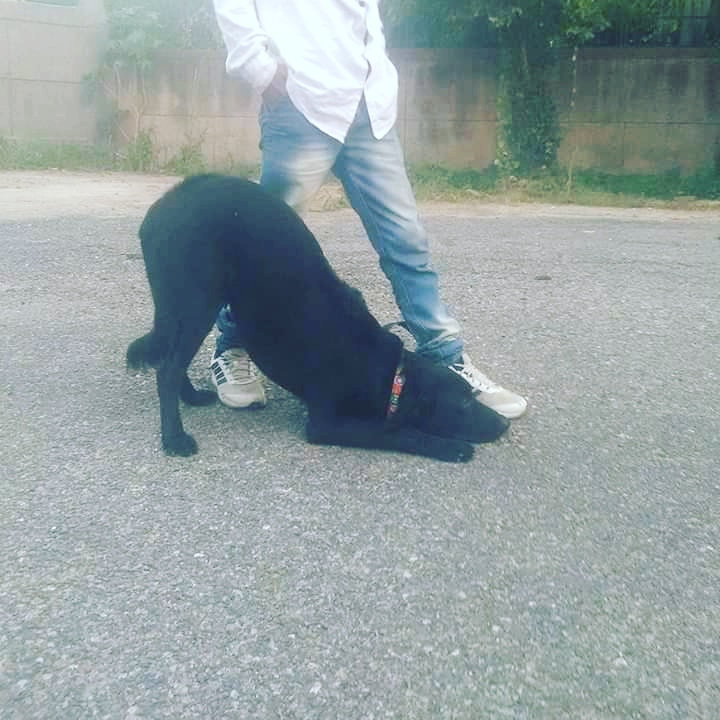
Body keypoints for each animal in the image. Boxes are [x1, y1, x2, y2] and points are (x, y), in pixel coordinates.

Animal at [128, 174, 512, 462]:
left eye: (471, 395)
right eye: (463, 403)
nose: (503, 425)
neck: (380, 366)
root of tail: (167, 203)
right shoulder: (325, 423)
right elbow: (394, 431)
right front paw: (448, 446)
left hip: (180, 308)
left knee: (170, 360)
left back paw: (191, 399)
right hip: (197, 303)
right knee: (167, 369)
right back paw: (174, 438)